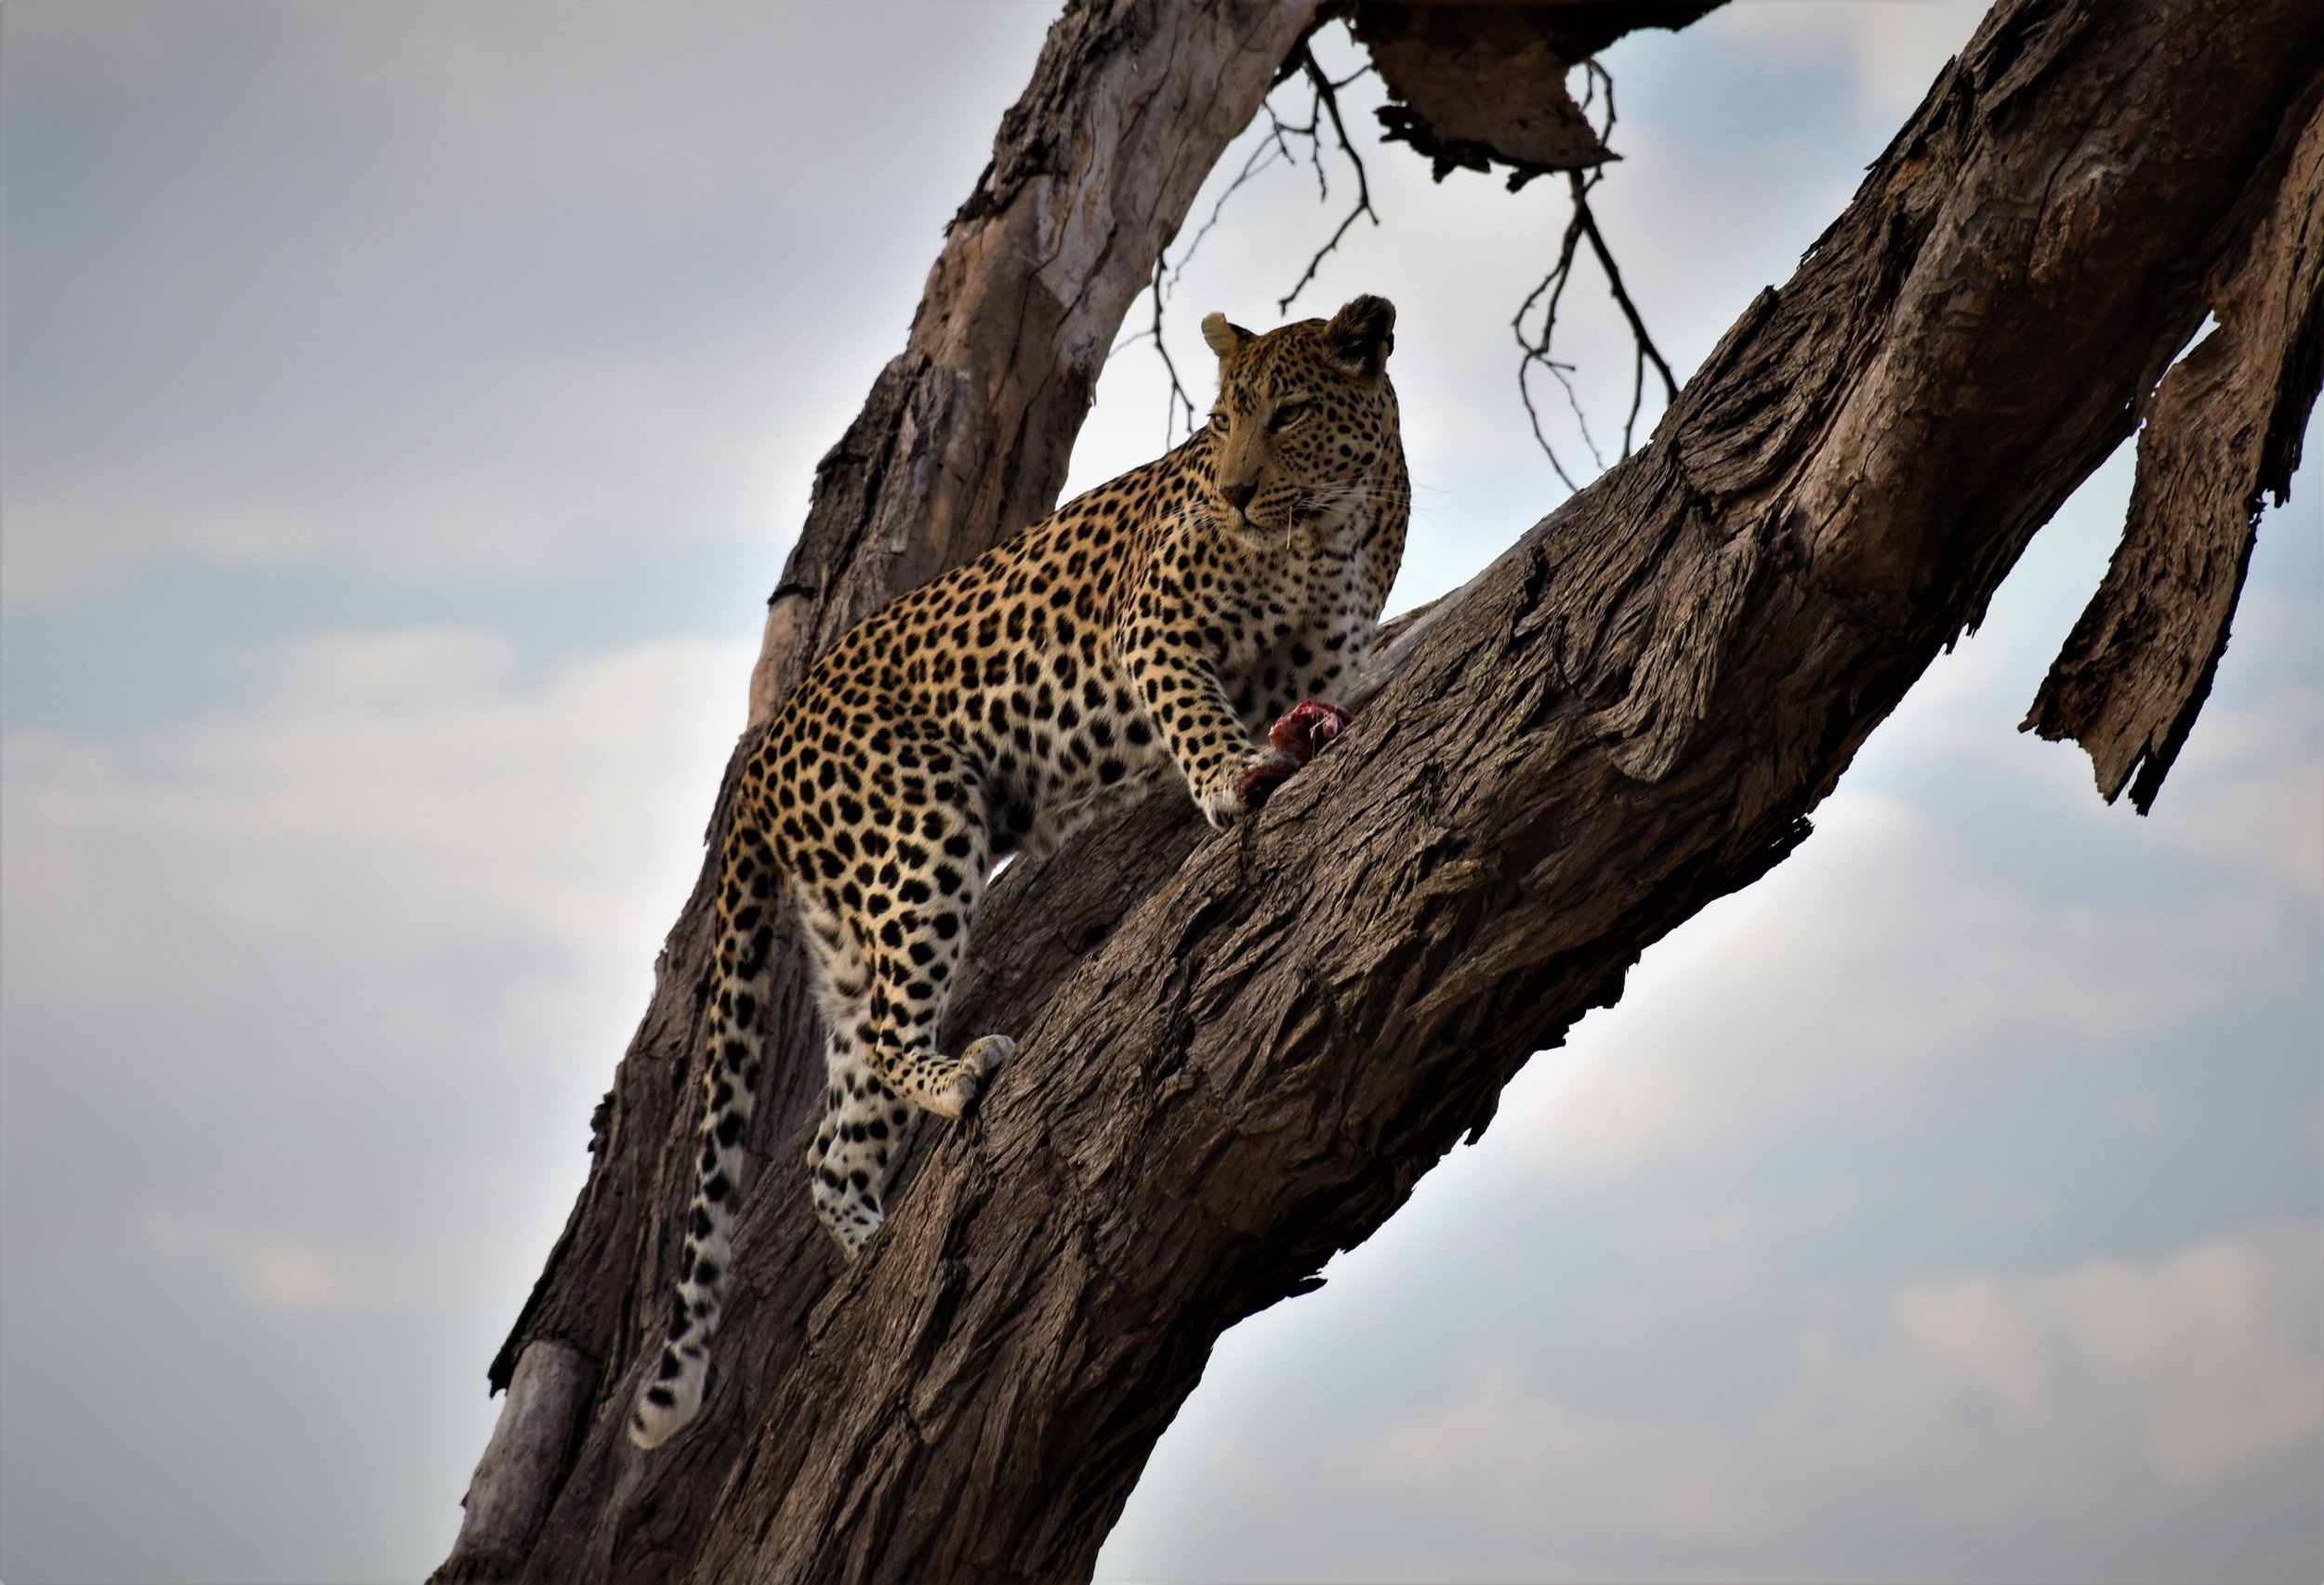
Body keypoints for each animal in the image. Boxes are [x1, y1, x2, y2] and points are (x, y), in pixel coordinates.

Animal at [629, 294, 1407, 1449]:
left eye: (1293, 412)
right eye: (1223, 419)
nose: (1233, 490)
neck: (1329, 530)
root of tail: (764, 754)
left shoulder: (1307, 663)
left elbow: (1293, 702)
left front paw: (1291, 743)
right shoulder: (1155, 628)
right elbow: (1196, 714)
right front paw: (1232, 781)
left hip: (849, 924)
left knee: (832, 1137)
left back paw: (867, 1264)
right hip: (920, 831)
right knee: (891, 1037)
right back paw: (957, 1076)